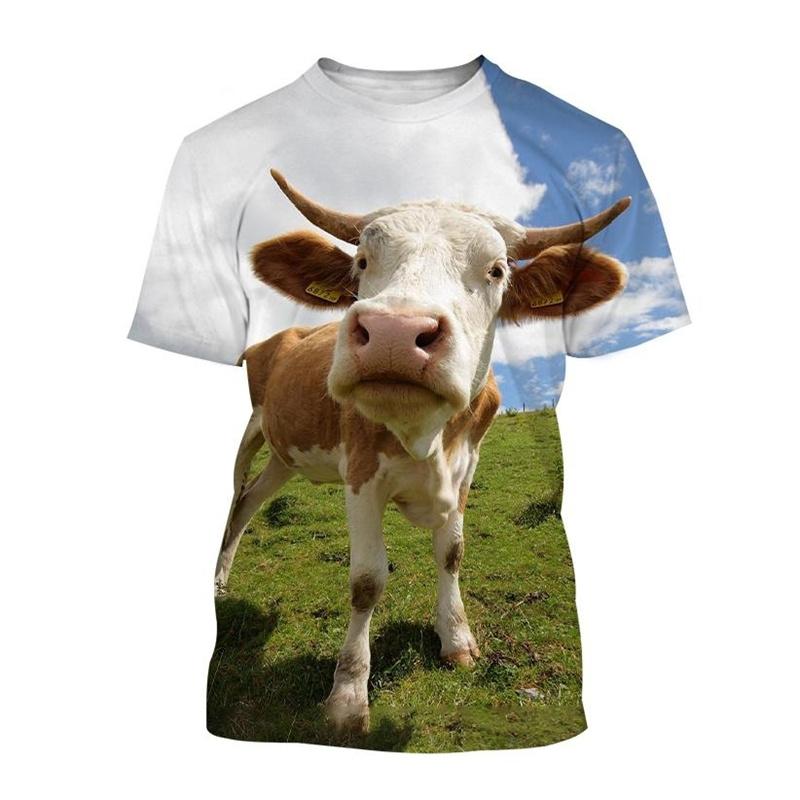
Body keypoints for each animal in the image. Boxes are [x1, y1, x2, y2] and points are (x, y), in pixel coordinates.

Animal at [214, 169, 630, 735]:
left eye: (497, 270)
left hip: (284, 455)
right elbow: (367, 581)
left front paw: (457, 640)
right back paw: (216, 581)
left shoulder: (467, 470)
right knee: (235, 499)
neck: (425, 437)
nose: (395, 332)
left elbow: (451, 553)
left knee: (251, 501)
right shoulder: (361, 478)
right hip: (251, 432)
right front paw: (348, 696)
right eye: (362, 262)